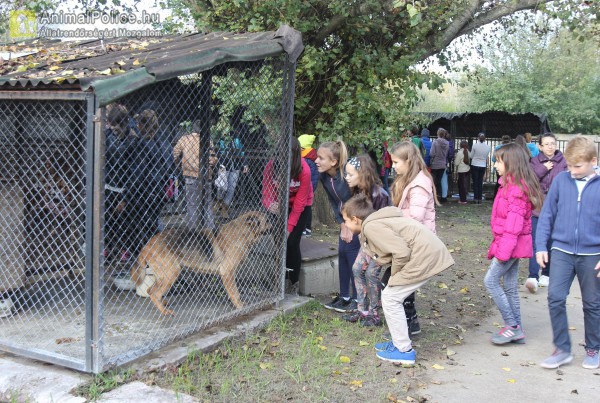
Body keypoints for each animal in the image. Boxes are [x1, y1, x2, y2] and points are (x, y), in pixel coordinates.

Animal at [134, 211, 272, 316]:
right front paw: (239, 306)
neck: (243, 233)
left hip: (163, 274)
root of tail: (147, 245)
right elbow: (235, 293)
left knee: (150, 290)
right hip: (172, 272)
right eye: (267, 220)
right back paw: (164, 311)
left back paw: (163, 303)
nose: (274, 221)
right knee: (154, 293)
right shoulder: (227, 272)